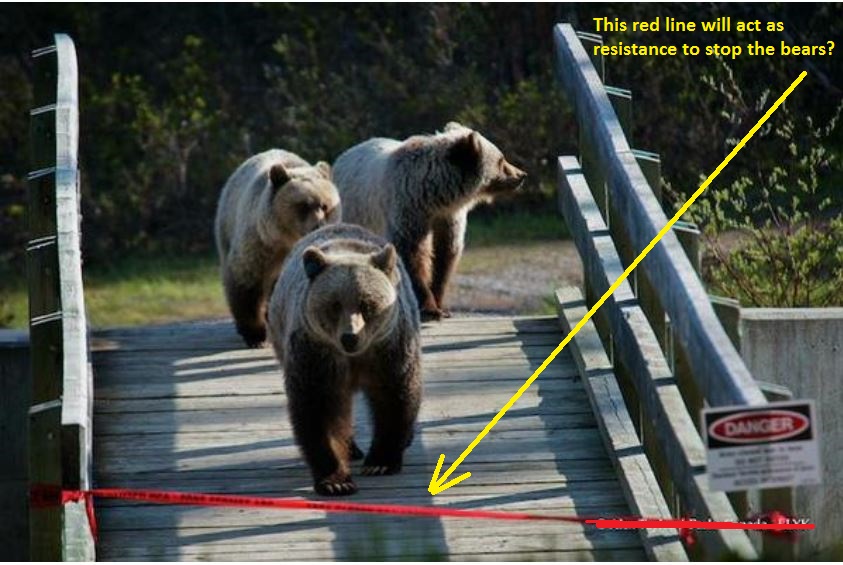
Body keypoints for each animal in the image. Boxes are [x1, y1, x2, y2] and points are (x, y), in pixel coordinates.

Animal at [215, 149, 341, 347]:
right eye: (304, 205)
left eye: (324, 205)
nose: (318, 225)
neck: (285, 240)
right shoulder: (258, 246)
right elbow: (245, 283)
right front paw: (255, 335)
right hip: (226, 227)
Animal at [267, 223, 422, 496]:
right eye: (334, 305)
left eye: (367, 304)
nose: (350, 337)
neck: (355, 358)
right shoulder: (316, 355)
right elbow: (318, 408)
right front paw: (336, 480)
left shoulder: (388, 350)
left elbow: (394, 397)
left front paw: (380, 462)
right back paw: (351, 448)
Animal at [332, 122, 527, 322]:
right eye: (501, 160)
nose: (521, 175)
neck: (434, 196)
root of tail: (343, 155)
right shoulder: (407, 206)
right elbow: (412, 252)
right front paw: (430, 308)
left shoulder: (449, 215)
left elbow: (445, 253)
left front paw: (440, 304)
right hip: (355, 212)